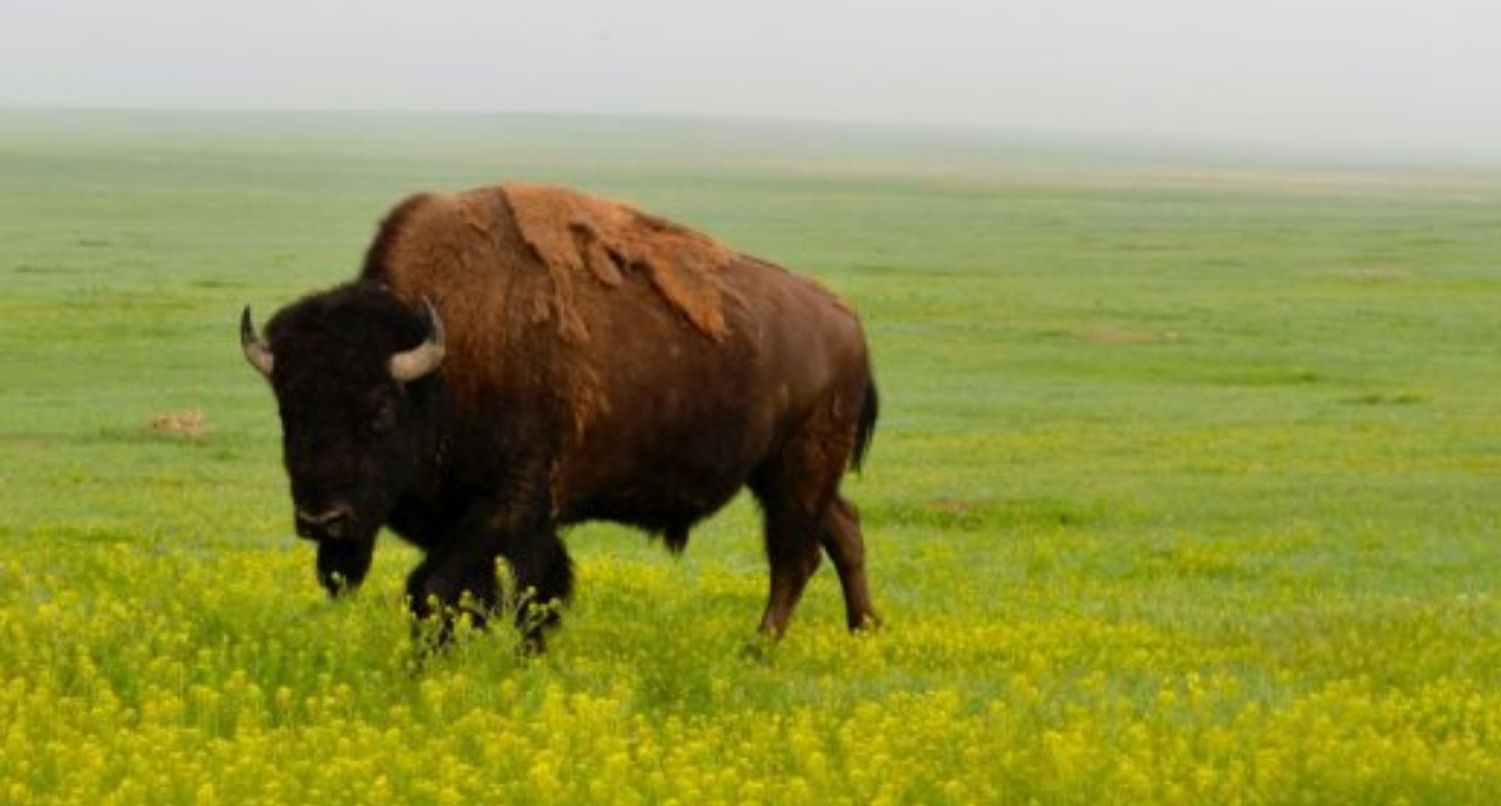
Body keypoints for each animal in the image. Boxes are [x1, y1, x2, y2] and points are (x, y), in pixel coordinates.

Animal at [240, 184, 879, 647]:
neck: (446, 363)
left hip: (798, 468)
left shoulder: (506, 508)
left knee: (794, 556)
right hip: (781, 473)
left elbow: (440, 589)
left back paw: (759, 648)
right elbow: (529, 591)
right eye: (287, 410)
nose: (321, 519)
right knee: (842, 530)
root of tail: (846, 320)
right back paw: (863, 632)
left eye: (377, 411)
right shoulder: (515, 523)